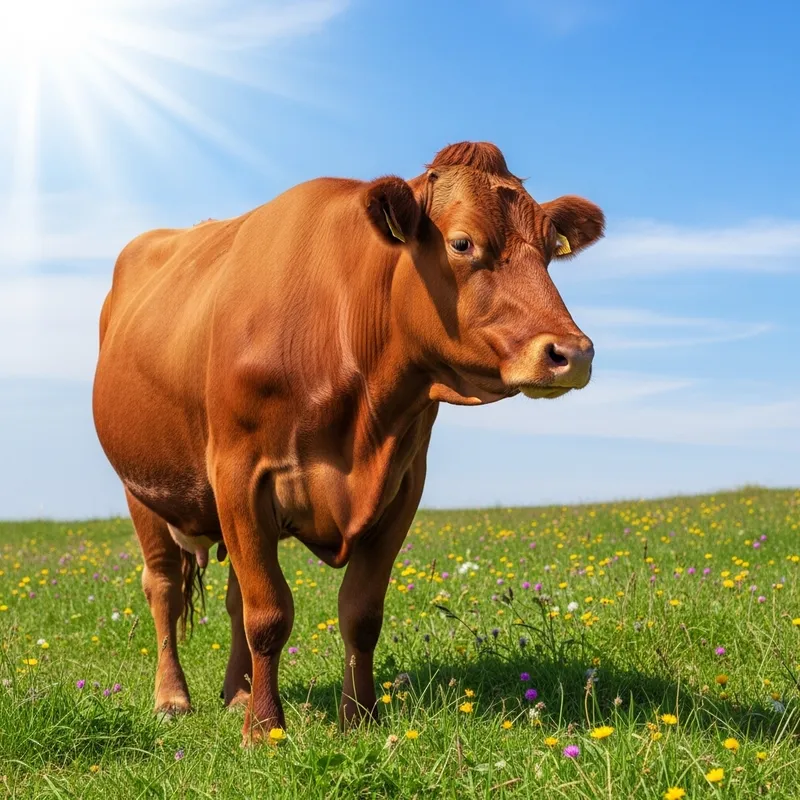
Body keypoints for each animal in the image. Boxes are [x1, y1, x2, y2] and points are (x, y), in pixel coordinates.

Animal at [92, 141, 604, 743]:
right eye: (462, 243)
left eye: (550, 250)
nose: (573, 353)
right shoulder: (238, 474)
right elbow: (269, 614)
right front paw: (263, 730)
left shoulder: (401, 486)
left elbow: (359, 613)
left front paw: (358, 716)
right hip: (143, 490)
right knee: (165, 588)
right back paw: (173, 697)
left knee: (234, 596)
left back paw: (236, 692)